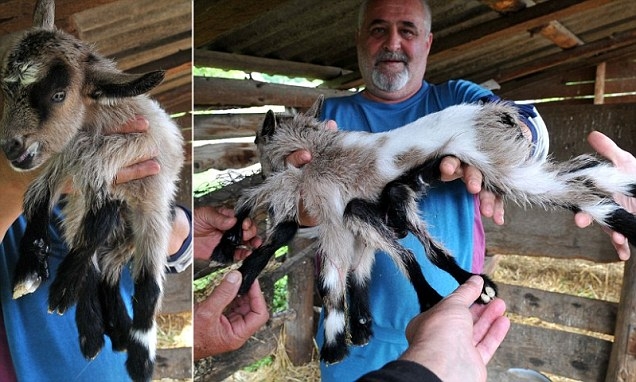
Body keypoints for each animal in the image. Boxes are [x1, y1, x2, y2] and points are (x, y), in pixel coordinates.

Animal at [0, 24, 184, 382]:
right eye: (7, 91)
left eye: (58, 95)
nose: (11, 147)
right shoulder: (67, 164)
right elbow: (38, 196)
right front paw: (31, 268)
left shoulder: (130, 158)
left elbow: (98, 207)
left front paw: (59, 287)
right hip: (94, 224)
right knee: (102, 270)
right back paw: (96, 333)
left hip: (145, 224)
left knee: (142, 286)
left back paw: (135, 354)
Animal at [212, 96, 636, 364]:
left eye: (257, 138)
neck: (315, 148)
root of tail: (495, 112)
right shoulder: (356, 218)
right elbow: (354, 266)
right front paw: (361, 329)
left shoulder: (329, 212)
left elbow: (329, 276)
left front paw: (334, 345)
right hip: (506, 169)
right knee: (585, 175)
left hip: (506, 170)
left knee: (582, 189)